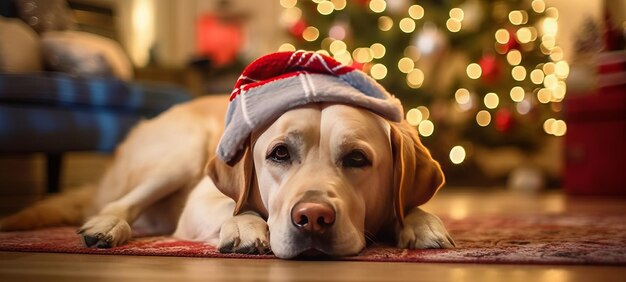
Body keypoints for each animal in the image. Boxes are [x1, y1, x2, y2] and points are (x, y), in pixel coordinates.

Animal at [2, 51, 456, 258]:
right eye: (278, 154)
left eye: (358, 159)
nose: (312, 217)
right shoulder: (201, 199)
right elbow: (236, 207)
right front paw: (245, 226)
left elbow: (410, 207)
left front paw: (422, 222)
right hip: (182, 151)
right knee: (119, 203)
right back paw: (106, 226)